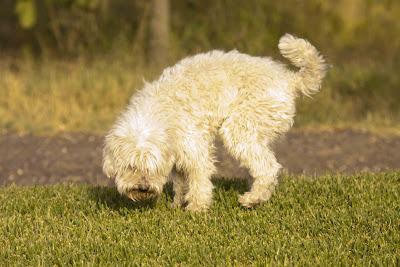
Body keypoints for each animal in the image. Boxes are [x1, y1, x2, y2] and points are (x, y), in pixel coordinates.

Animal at [102, 34, 324, 213]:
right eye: (130, 167)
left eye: (150, 168)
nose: (142, 188)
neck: (159, 112)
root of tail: (289, 80)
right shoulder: (178, 154)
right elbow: (181, 182)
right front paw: (177, 204)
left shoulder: (195, 148)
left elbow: (199, 180)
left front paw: (196, 208)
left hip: (239, 129)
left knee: (268, 167)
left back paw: (252, 199)